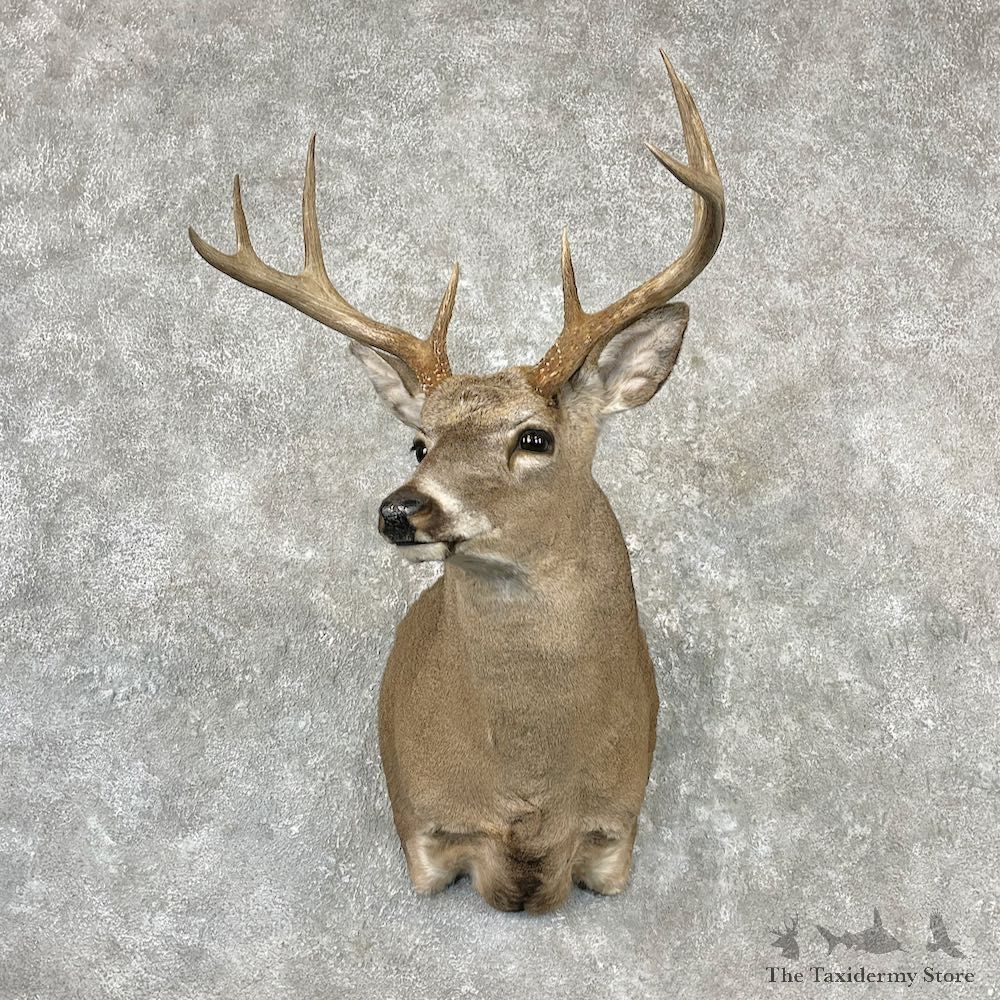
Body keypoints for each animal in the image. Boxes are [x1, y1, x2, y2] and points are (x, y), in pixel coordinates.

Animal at [188, 49, 724, 914]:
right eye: (419, 442)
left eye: (534, 437)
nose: (400, 510)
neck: (530, 792)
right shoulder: (423, 830)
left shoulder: (617, 834)